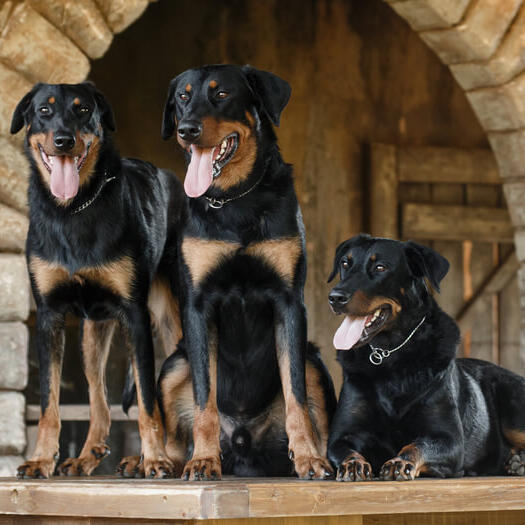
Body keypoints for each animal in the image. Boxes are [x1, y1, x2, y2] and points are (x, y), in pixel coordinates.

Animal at [10, 83, 184, 478]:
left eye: (83, 109)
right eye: (44, 110)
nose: (64, 140)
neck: (71, 210)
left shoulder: (135, 316)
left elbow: (148, 402)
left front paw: (155, 459)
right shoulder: (49, 317)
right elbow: (50, 403)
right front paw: (41, 459)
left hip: (173, 322)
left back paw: (167, 457)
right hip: (92, 332)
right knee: (99, 399)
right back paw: (90, 454)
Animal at [158, 65, 336, 478]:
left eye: (221, 94)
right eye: (182, 97)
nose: (186, 129)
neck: (233, 198)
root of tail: (241, 441)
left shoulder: (288, 303)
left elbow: (297, 399)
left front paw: (308, 458)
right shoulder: (198, 305)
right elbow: (204, 399)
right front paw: (204, 459)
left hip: (314, 360)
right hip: (173, 365)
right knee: (173, 438)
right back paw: (154, 462)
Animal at [326, 235, 524, 482]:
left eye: (380, 267)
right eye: (345, 263)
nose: (335, 297)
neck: (390, 355)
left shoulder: (448, 439)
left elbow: (417, 445)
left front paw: (400, 463)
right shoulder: (341, 435)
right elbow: (345, 448)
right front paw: (353, 464)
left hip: (512, 406)